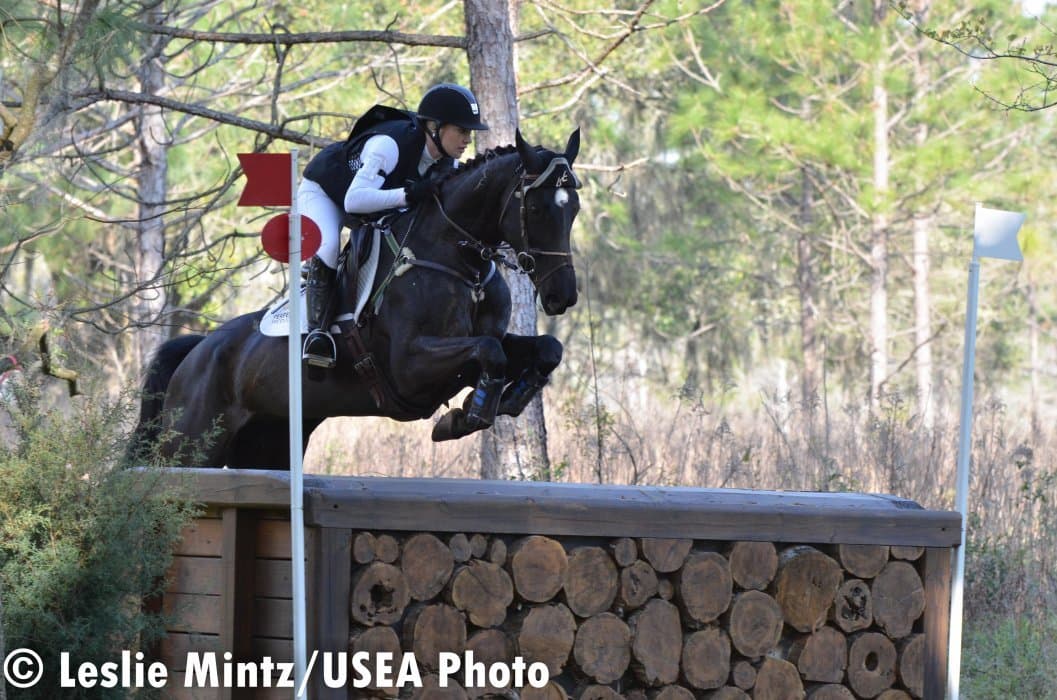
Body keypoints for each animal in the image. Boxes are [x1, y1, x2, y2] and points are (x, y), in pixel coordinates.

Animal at [129, 129, 582, 469]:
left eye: (573, 208)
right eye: (537, 210)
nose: (562, 296)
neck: (456, 259)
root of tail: (199, 349)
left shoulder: (469, 351)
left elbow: (543, 349)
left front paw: (507, 398)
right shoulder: (410, 365)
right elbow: (489, 352)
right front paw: (469, 413)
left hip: (267, 444)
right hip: (191, 444)